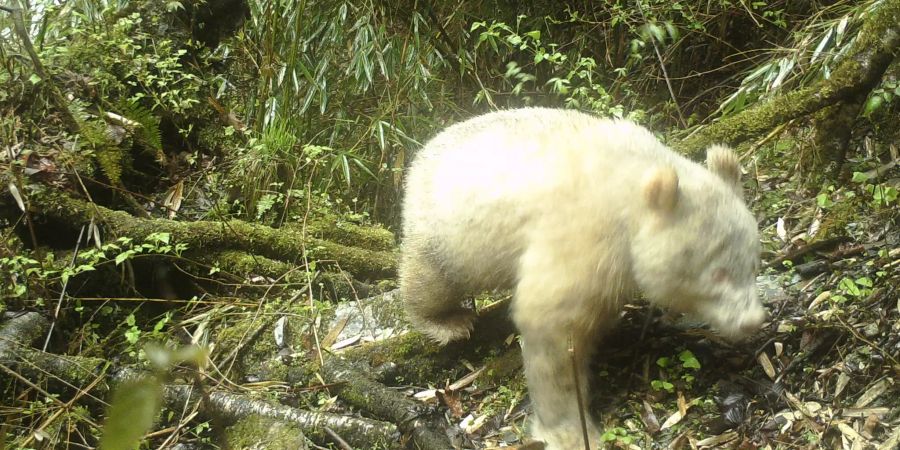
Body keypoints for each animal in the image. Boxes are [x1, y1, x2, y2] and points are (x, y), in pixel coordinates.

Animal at [400, 107, 768, 448]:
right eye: (718, 273)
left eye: (753, 264)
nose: (752, 320)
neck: (631, 186)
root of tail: (421, 154)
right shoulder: (584, 233)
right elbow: (550, 323)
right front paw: (569, 430)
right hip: (445, 230)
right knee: (431, 279)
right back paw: (447, 321)